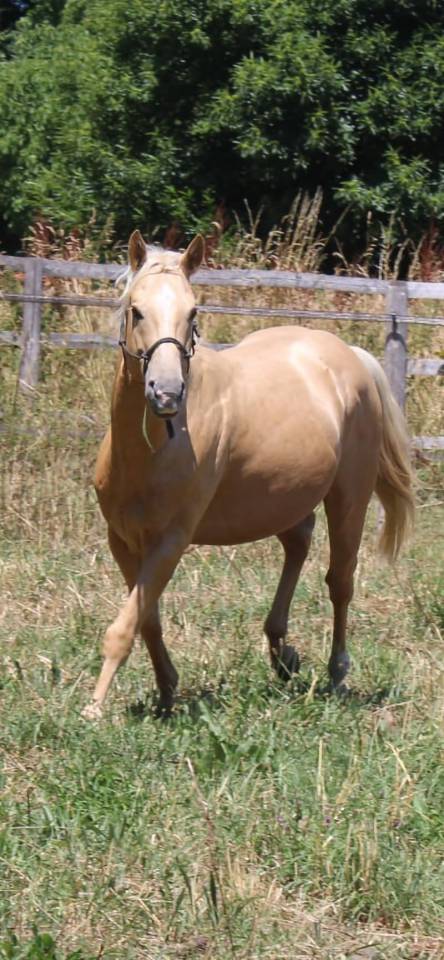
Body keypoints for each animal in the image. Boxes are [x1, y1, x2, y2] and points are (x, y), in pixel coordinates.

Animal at [83, 231, 414, 719]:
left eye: (193, 312)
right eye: (136, 310)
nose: (167, 393)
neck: (151, 450)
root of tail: (349, 357)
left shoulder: (172, 540)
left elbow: (125, 626)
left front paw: (94, 708)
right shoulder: (122, 541)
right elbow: (147, 619)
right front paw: (166, 690)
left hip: (349, 498)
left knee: (340, 581)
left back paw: (336, 672)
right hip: (286, 496)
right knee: (298, 543)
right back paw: (282, 654)